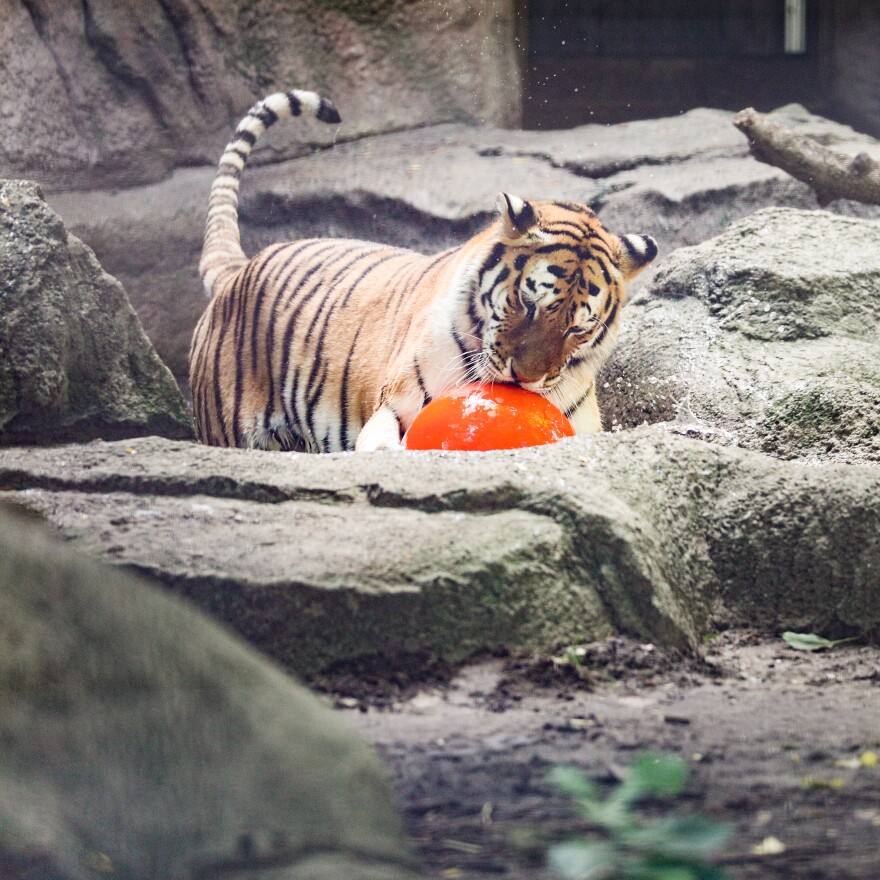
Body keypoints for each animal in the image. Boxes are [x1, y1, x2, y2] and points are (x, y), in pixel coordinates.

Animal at [192, 89, 660, 454]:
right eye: (527, 303)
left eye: (578, 329)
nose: (526, 379)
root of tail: (239, 269)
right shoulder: (392, 405)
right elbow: (383, 442)